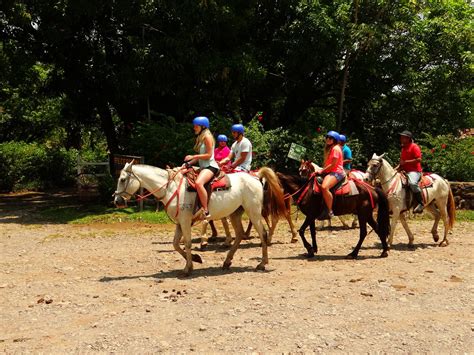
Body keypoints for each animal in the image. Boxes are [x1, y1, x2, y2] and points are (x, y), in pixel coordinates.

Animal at [114, 163, 286, 276]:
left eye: (122, 179)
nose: (117, 201)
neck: (171, 188)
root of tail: (255, 177)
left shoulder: (185, 221)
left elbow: (187, 243)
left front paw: (187, 268)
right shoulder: (180, 222)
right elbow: (175, 244)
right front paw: (196, 259)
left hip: (254, 212)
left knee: (263, 234)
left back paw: (262, 264)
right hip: (235, 213)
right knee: (238, 235)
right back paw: (227, 262)